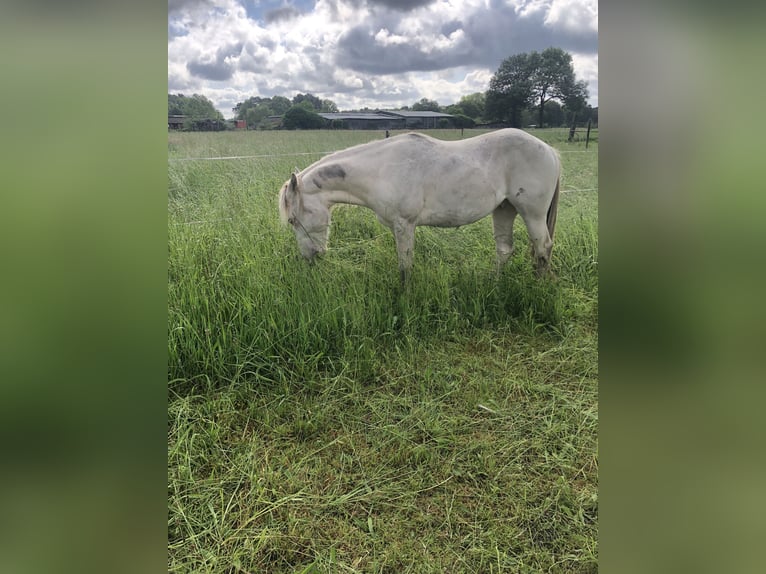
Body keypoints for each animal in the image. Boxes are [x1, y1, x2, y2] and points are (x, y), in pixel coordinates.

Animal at [280, 129, 560, 284]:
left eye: (292, 220)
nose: (310, 258)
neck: (380, 170)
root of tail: (550, 150)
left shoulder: (405, 224)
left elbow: (405, 266)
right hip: (504, 209)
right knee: (504, 249)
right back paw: (494, 283)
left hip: (532, 214)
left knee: (543, 248)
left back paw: (538, 286)